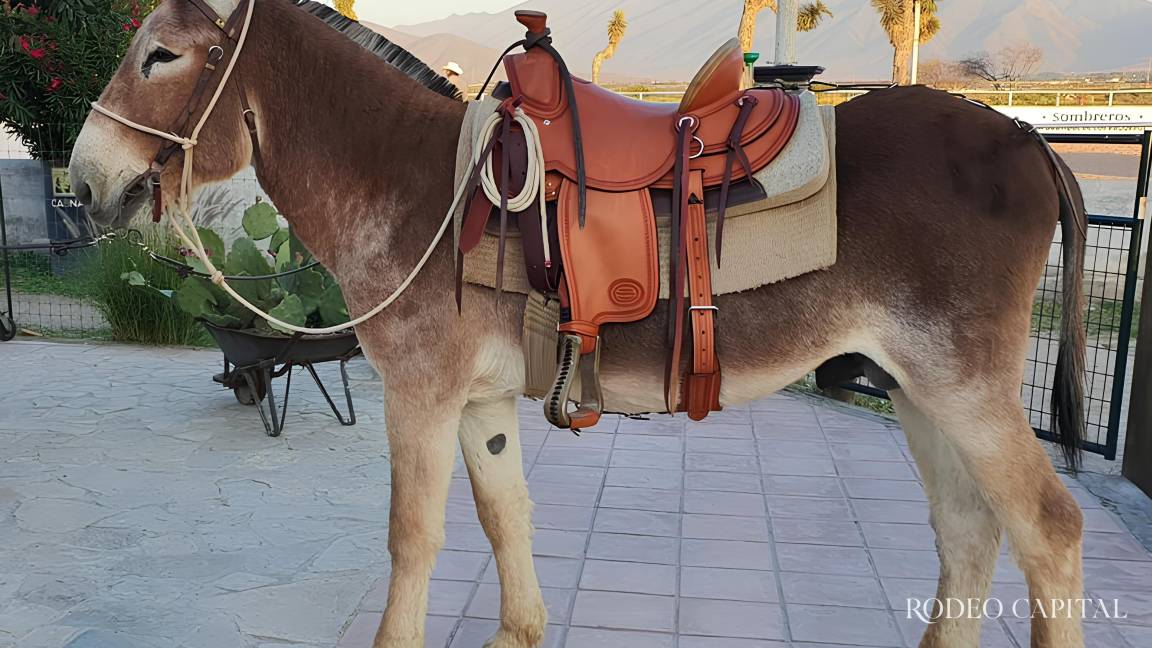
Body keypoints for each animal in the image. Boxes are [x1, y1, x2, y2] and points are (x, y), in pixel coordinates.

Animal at [68, 1, 1089, 646]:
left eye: (161, 55)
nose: (82, 182)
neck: (419, 184)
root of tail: (1027, 138)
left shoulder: (420, 395)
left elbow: (413, 534)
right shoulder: (479, 404)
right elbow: (504, 515)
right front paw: (519, 631)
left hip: (963, 386)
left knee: (1047, 530)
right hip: (918, 389)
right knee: (968, 531)